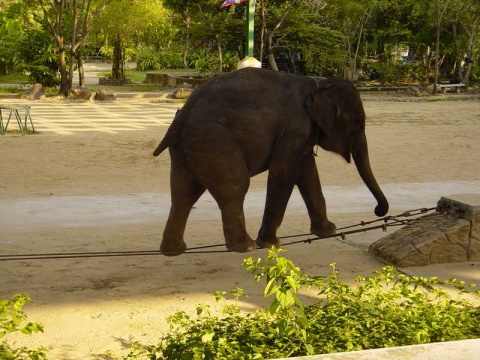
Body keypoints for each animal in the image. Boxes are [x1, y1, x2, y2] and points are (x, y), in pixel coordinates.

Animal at [154, 67, 390, 256]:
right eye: (358, 123)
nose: (378, 210)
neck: (318, 84)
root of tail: (179, 122)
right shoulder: (295, 129)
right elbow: (283, 172)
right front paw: (271, 244)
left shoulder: (302, 135)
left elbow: (307, 173)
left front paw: (328, 231)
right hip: (214, 142)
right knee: (234, 188)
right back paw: (246, 247)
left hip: (189, 149)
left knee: (184, 195)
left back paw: (174, 251)